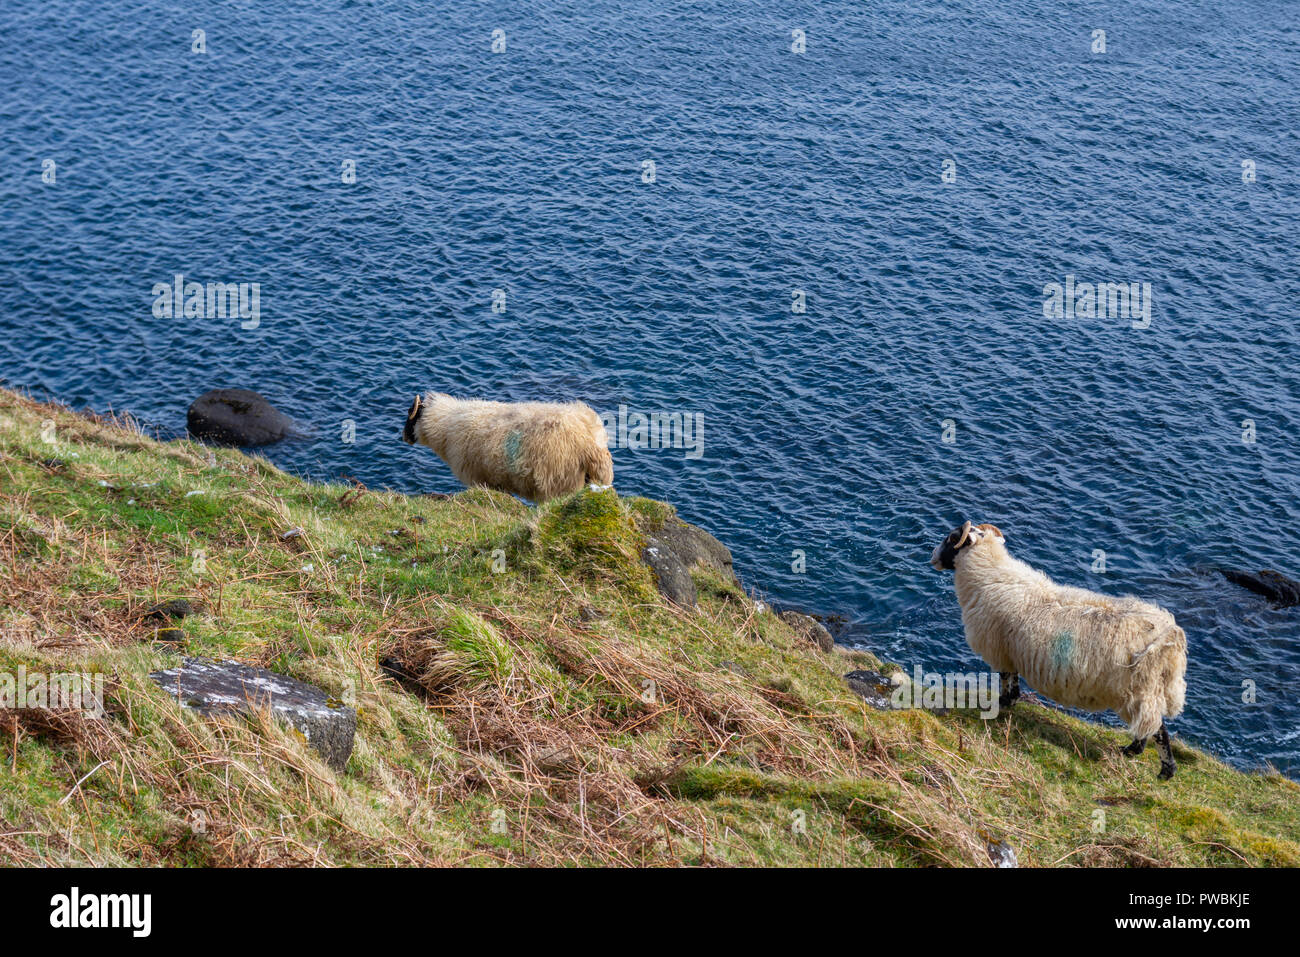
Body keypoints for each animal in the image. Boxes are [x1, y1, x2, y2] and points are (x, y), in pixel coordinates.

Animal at [400, 392, 613, 504]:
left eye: (411, 414)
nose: (403, 437)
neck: (446, 424)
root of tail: (590, 444)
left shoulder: (479, 479)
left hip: (561, 483)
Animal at [925, 522, 1190, 780]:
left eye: (952, 538)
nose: (932, 557)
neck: (989, 572)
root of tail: (1171, 635)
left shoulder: (1001, 653)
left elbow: (1006, 680)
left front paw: (1001, 704)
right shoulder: (1010, 653)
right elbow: (1013, 684)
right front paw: (1010, 702)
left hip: (1136, 689)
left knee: (1157, 729)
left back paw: (1162, 768)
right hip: (1148, 689)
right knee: (1149, 724)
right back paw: (1135, 752)